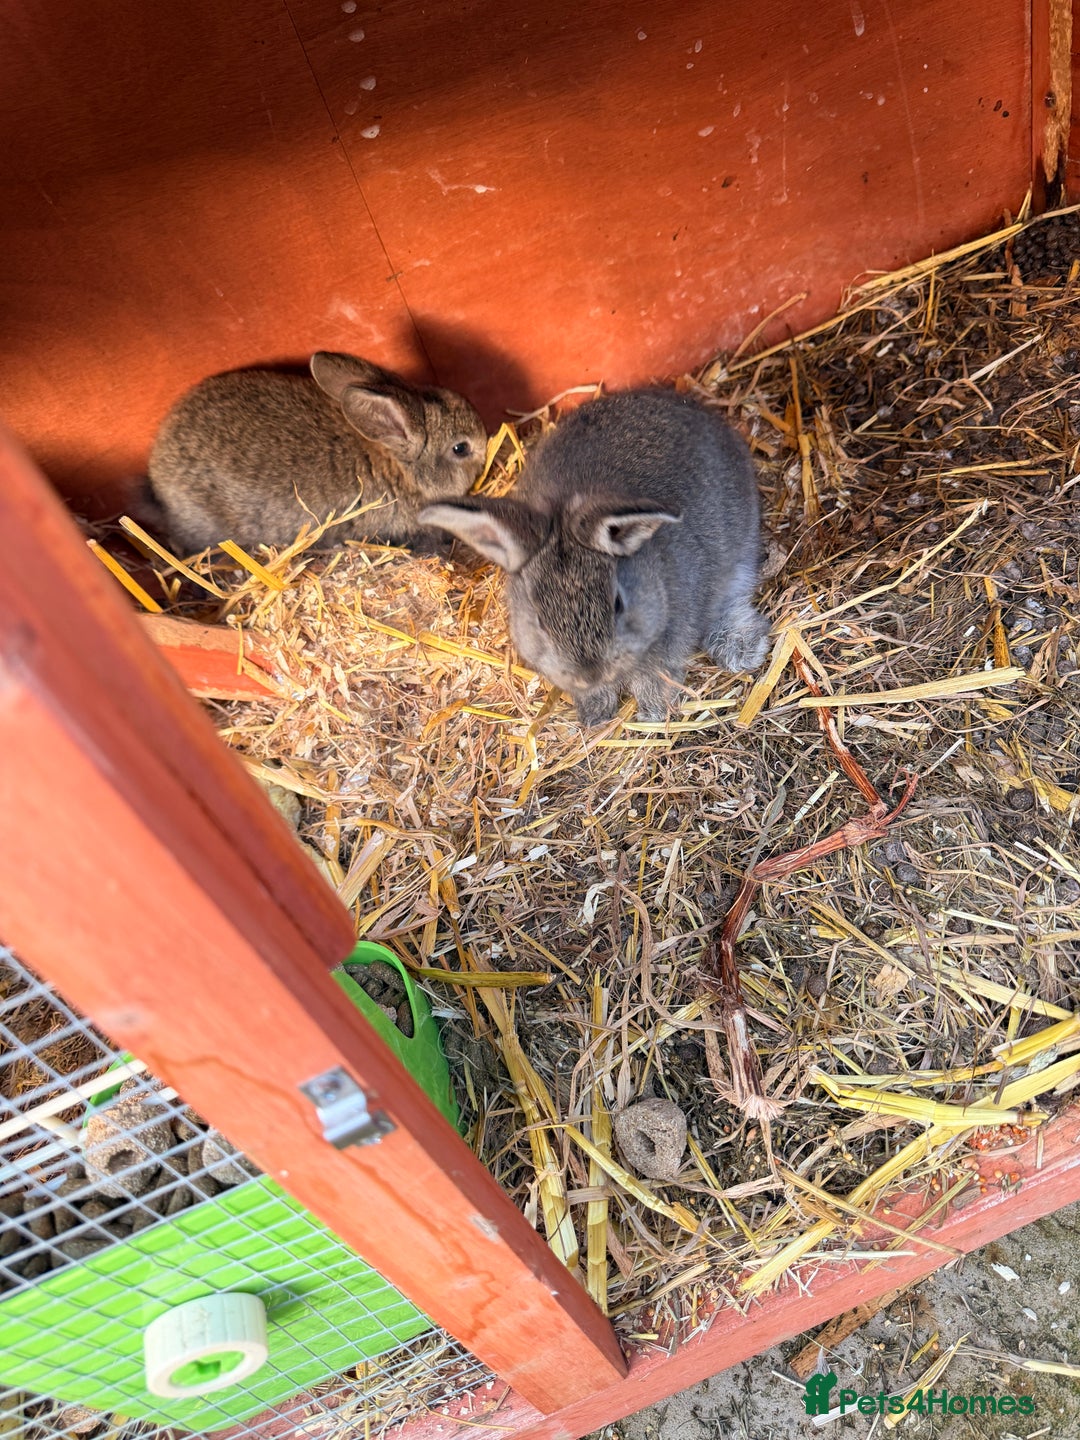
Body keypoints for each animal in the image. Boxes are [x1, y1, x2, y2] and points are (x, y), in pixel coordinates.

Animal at [419, 387, 769, 725]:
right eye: (539, 621)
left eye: (618, 604)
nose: (590, 674)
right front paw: (596, 714)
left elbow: (655, 674)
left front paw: (653, 713)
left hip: (741, 552)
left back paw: (741, 648)